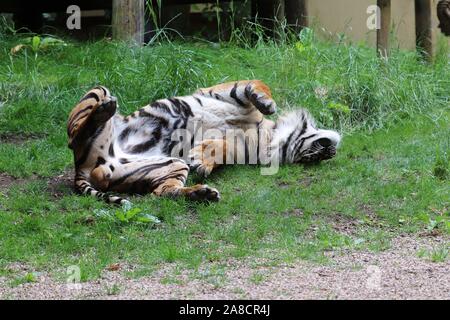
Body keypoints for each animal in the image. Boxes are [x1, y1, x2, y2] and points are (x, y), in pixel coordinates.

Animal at [67, 80, 342, 205]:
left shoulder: (239, 146)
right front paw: (267, 102)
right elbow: (255, 84)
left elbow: (222, 148)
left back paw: (203, 193)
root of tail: (80, 170)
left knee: (162, 192)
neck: (270, 134)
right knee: (75, 135)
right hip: (98, 90)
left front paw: (202, 161)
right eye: (317, 155)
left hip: (170, 164)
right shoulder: (226, 90)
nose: (330, 152)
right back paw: (106, 109)